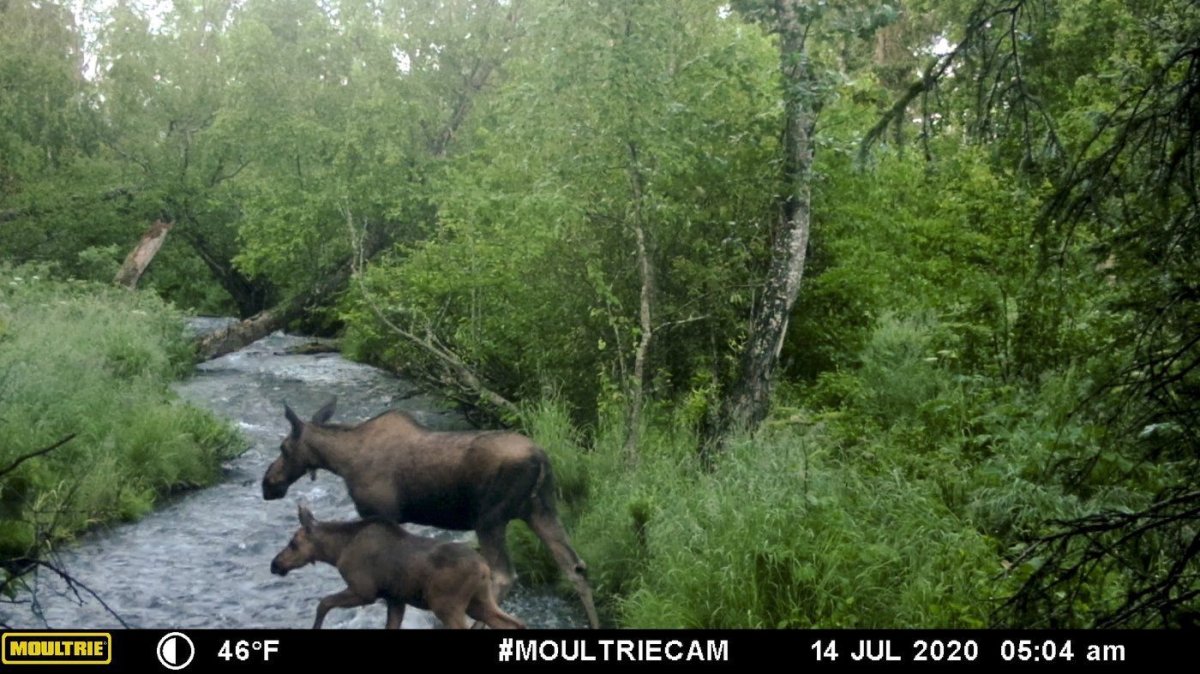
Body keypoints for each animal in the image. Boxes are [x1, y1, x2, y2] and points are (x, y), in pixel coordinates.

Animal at [272, 503, 525, 628]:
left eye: (293, 543)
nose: (275, 564)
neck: (337, 551)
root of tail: (485, 569)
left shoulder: (364, 591)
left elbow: (323, 603)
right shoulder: (396, 598)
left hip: (446, 604)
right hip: (479, 602)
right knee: (514, 624)